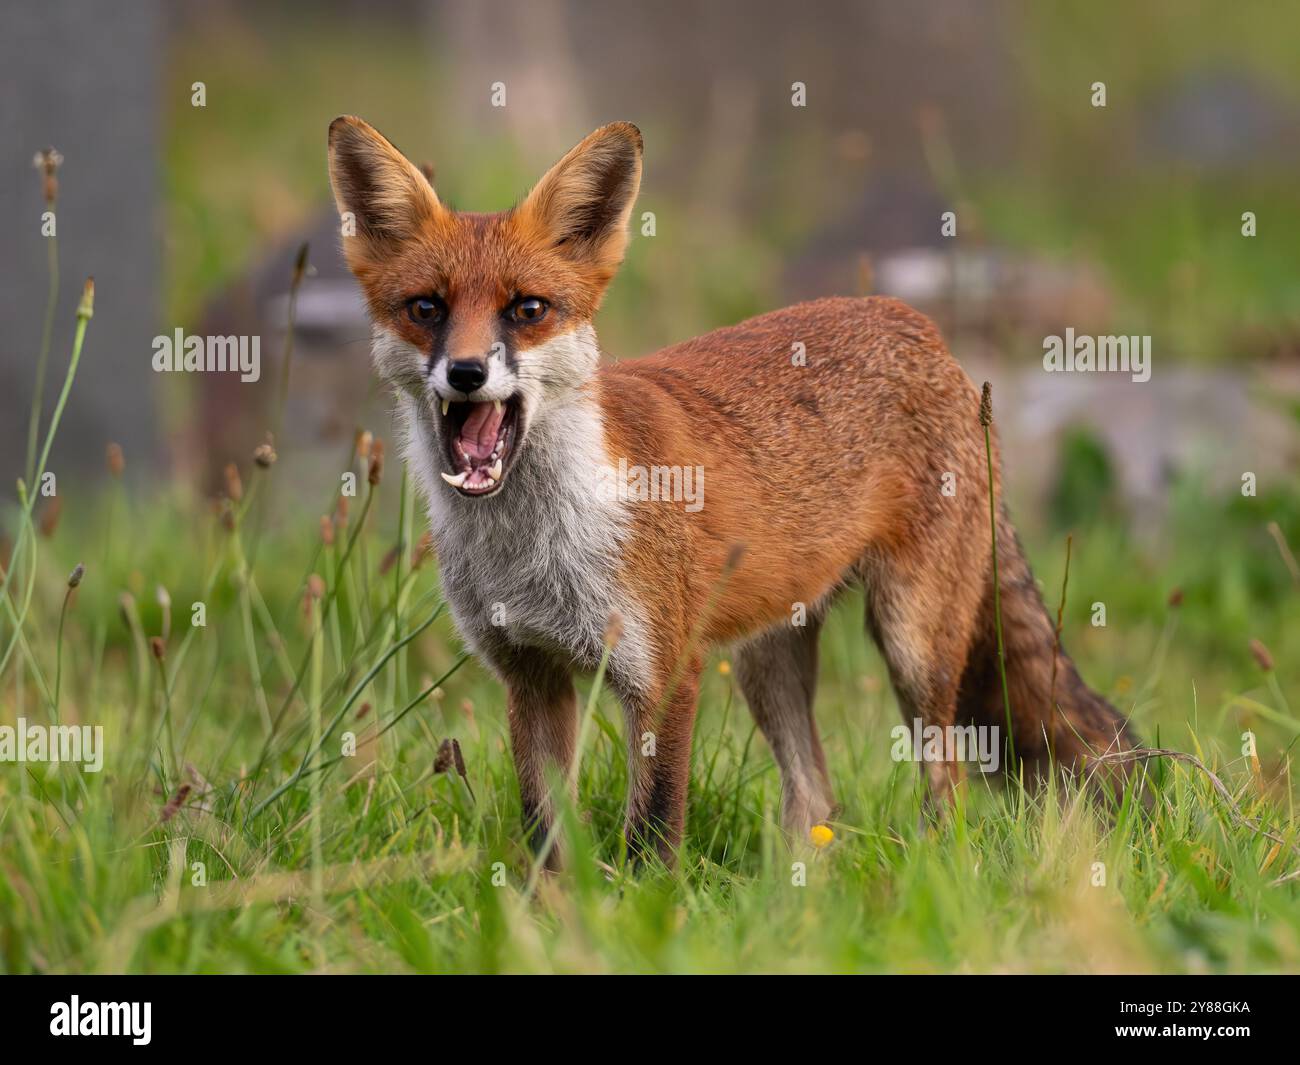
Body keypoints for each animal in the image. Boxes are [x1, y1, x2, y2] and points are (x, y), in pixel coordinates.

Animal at [327, 118, 1138, 868]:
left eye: (527, 310)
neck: (534, 550)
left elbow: (654, 830)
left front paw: (645, 911)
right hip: (767, 657)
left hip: (913, 642)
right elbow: (546, 836)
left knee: (948, 786)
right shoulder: (530, 675)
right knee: (816, 796)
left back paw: (934, 869)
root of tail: (916, 323)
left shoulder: (662, 671)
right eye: (426, 308)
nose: (465, 373)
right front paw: (552, 916)